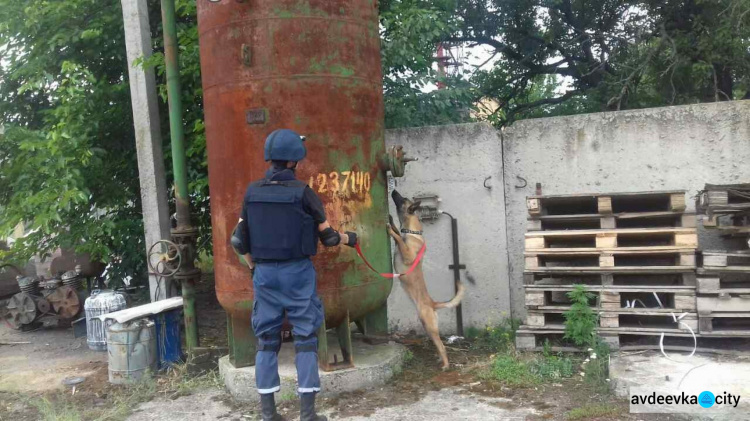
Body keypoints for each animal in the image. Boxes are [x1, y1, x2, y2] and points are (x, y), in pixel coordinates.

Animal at [388, 189, 470, 370]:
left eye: (402, 199)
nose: (393, 190)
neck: (412, 233)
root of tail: (432, 303)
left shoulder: (407, 255)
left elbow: (398, 239)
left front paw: (390, 230)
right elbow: (398, 233)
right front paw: (391, 222)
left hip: (429, 324)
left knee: (442, 345)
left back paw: (445, 364)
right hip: (427, 326)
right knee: (438, 344)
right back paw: (440, 359)